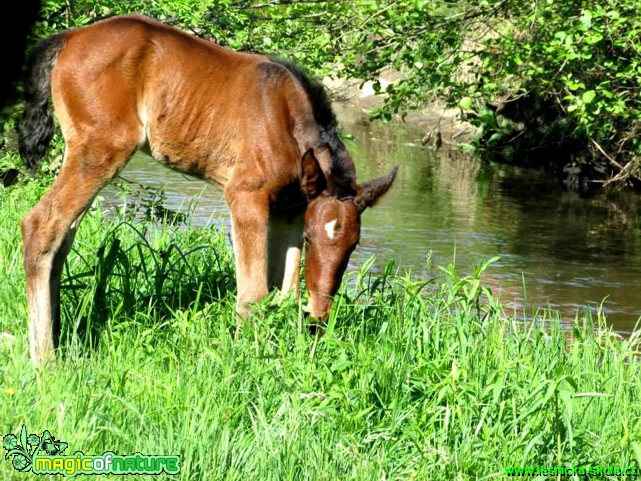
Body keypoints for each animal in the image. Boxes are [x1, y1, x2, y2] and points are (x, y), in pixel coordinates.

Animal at [18, 13, 396, 362]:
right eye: (310, 238)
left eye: (354, 245)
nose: (320, 316)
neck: (286, 124)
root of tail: (70, 36)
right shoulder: (246, 196)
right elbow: (254, 293)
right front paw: (247, 360)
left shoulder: (290, 211)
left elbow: (285, 292)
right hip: (102, 148)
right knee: (41, 225)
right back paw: (45, 359)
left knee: (62, 238)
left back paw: (60, 337)